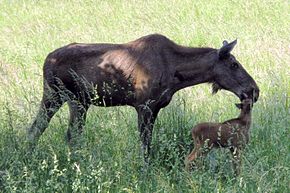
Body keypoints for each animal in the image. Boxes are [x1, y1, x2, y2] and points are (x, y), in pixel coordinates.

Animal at [27, 33, 260, 161]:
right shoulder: (144, 105)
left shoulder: (155, 108)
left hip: (68, 100)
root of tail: (46, 60)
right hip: (65, 97)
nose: (254, 90)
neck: (177, 74)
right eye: (234, 64)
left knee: (40, 129)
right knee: (63, 133)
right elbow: (145, 144)